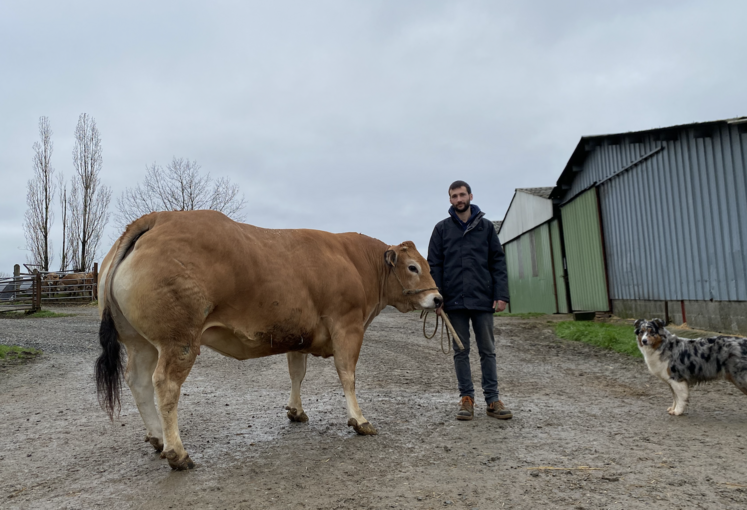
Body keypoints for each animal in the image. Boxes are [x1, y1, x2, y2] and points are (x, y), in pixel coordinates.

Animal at [95, 210, 442, 470]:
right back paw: (177, 453)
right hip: (178, 340)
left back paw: (156, 438)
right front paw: (359, 419)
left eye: (428, 265)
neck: (355, 263)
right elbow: (347, 375)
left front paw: (296, 411)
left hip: (140, 342)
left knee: (138, 381)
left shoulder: (300, 334)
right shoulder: (348, 325)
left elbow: (297, 373)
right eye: (413, 267)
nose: (438, 299)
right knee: (165, 385)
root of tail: (157, 219)